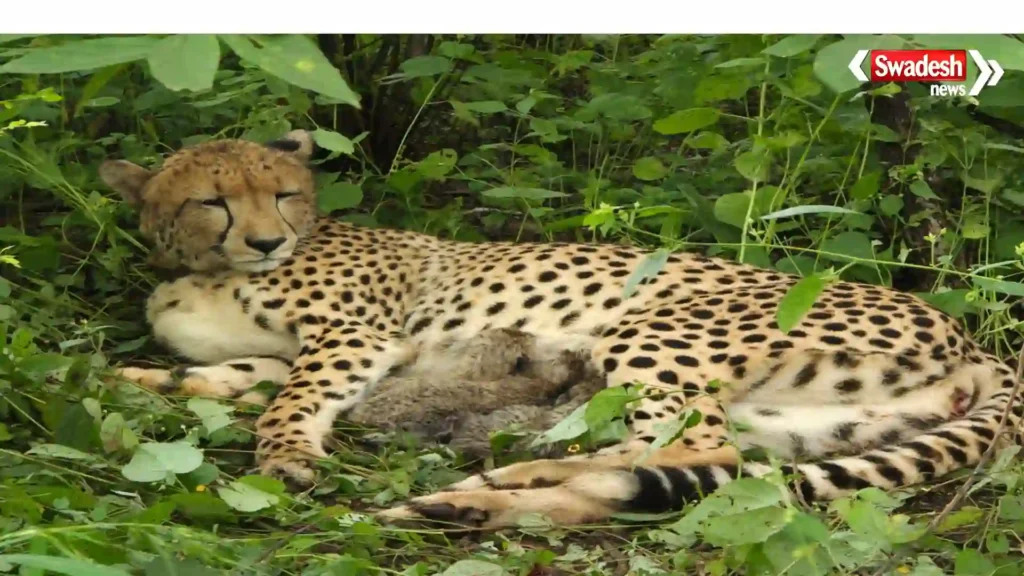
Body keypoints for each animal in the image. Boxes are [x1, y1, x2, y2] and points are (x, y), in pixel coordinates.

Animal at [100, 129, 1023, 531]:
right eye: (212, 199)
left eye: (282, 193)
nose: (266, 241)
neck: (207, 267)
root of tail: (978, 343)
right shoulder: (295, 354)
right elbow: (225, 380)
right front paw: (134, 381)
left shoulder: (357, 339)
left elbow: (287, 401)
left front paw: (287, 456)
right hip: (808, 422)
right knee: (690, 462)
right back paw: (482, 496)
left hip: (652, 331)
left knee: (686, 448)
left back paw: (496, 485)